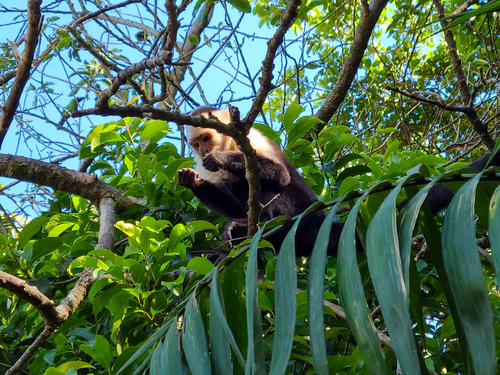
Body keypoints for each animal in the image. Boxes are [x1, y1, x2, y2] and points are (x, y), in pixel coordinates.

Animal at [179, 107, 500, 258]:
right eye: (195, 143)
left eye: (206, 137)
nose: (204, 152)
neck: (228, 140)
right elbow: (225, 197)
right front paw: (191, 180)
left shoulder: (247, 137)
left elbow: (280, 175)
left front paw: (221, 160)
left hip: (299, 210)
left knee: (272, 187)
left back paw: (262, 222)